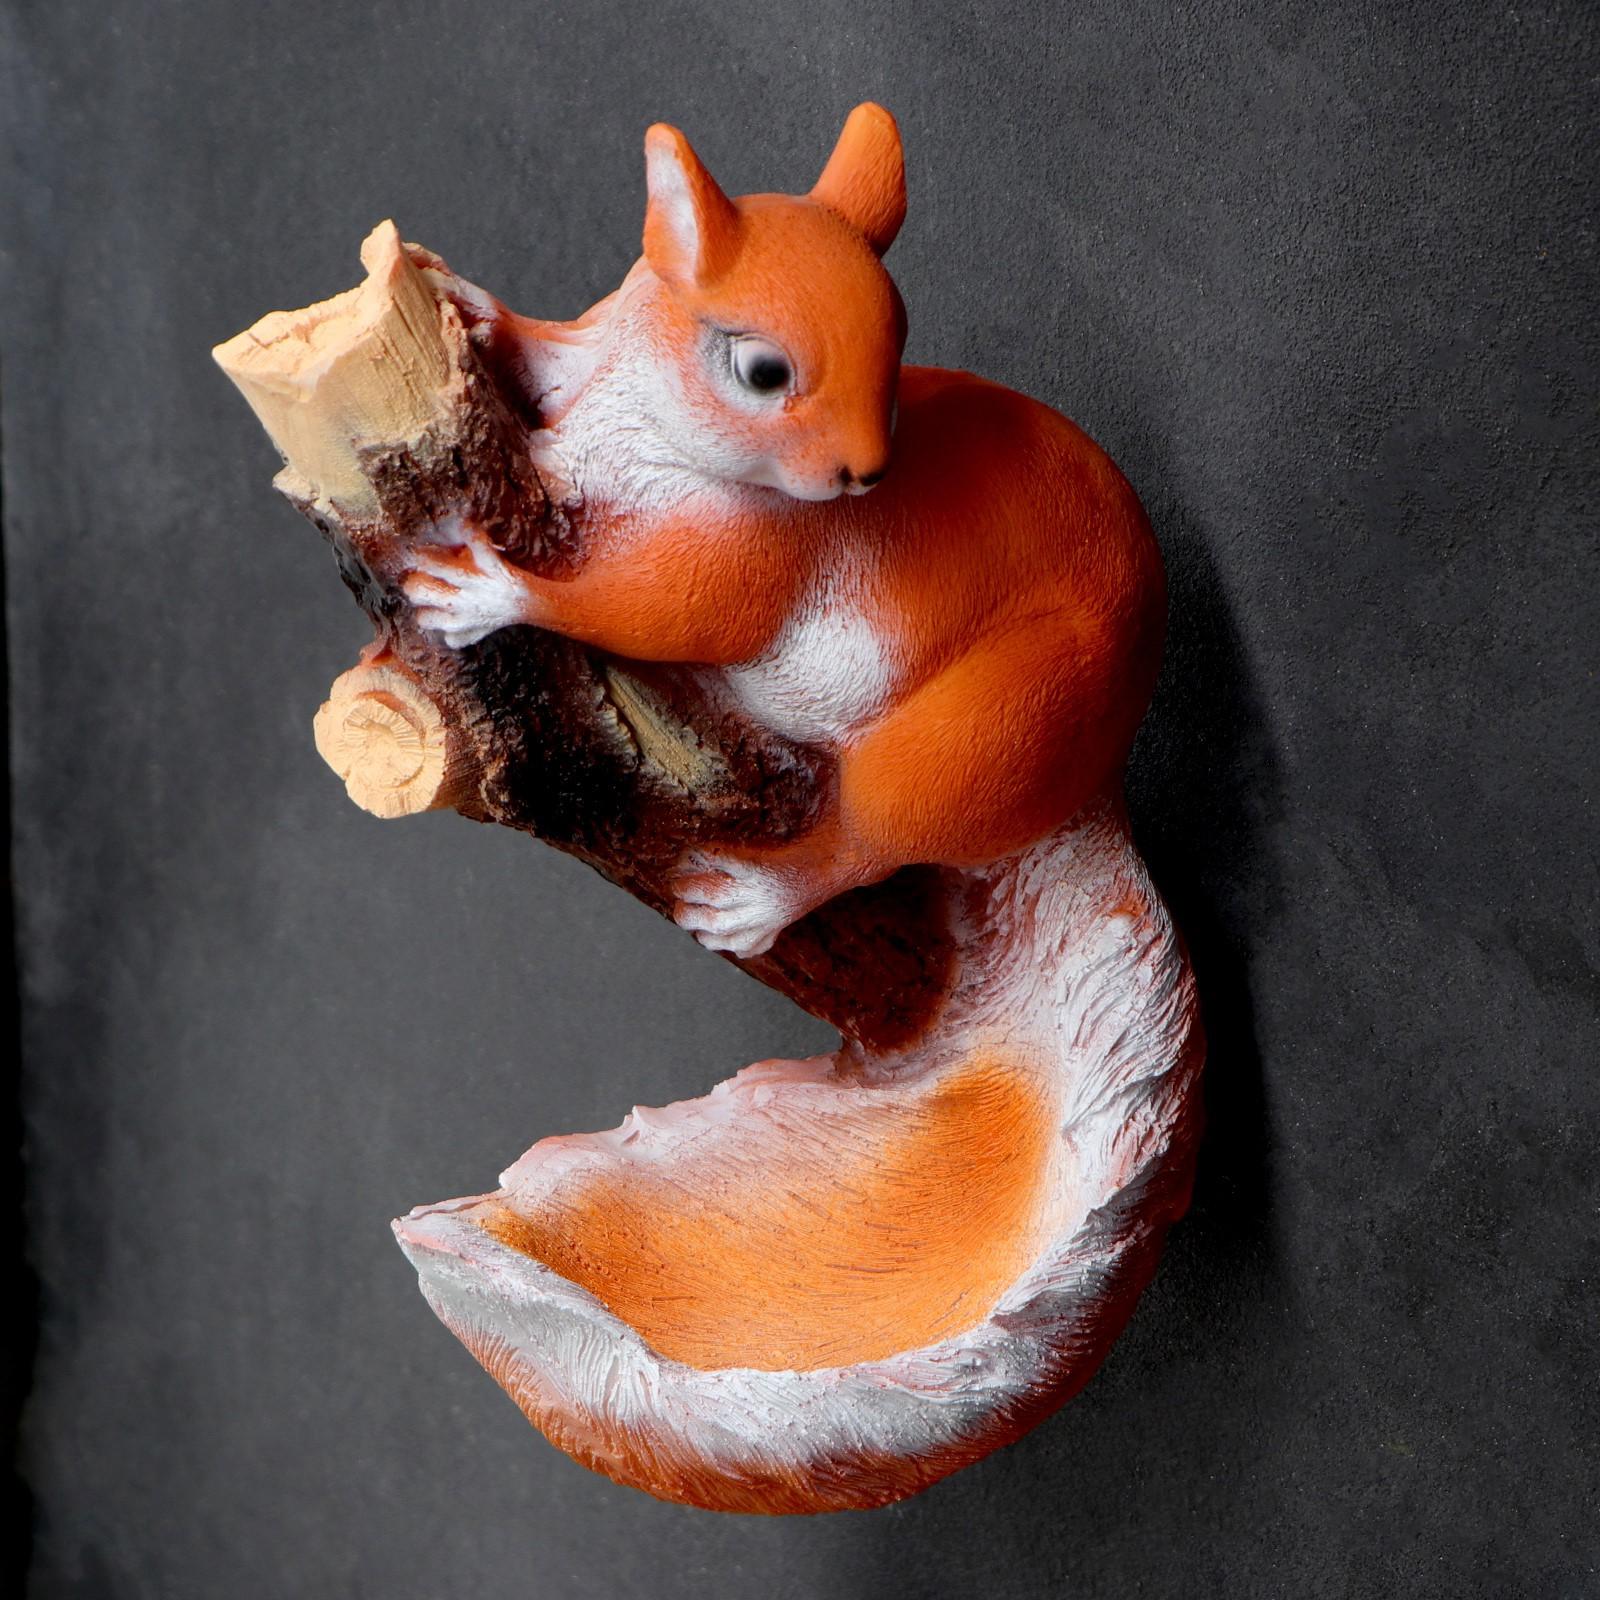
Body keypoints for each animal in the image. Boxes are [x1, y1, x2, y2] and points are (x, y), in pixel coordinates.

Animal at [401, 103, 1167, 960]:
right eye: (766, 374)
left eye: (896, 355)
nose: (866, 475)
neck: (641, 410)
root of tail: (1102, 773)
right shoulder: (599, 355)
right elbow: (550, 356)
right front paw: (469, 302)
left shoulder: (758, 553)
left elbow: (655, 611)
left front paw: (492, 593)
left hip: (1002, 727)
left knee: (875, 839)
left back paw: (765, 898)